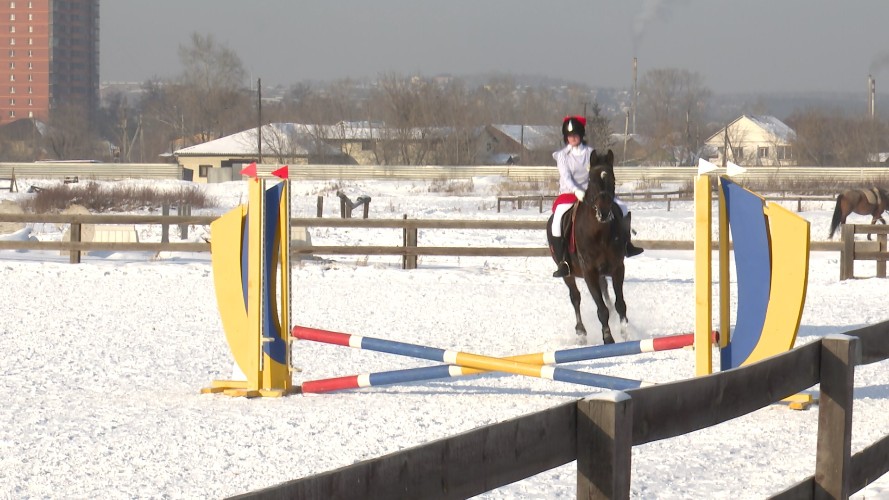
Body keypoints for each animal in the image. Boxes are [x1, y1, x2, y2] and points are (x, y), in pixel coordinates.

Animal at [544, 148, 628, 344]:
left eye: (613, 180)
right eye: (592, 180)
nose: (604, 212)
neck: (599, 232)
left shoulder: (617, 267)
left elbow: (620, 304)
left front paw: (625, 331)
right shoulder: (589, 272)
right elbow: (601, 309)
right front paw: (608, 338)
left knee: (605, 292)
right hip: (568, 274)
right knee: (575, 297)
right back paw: (581, 332)